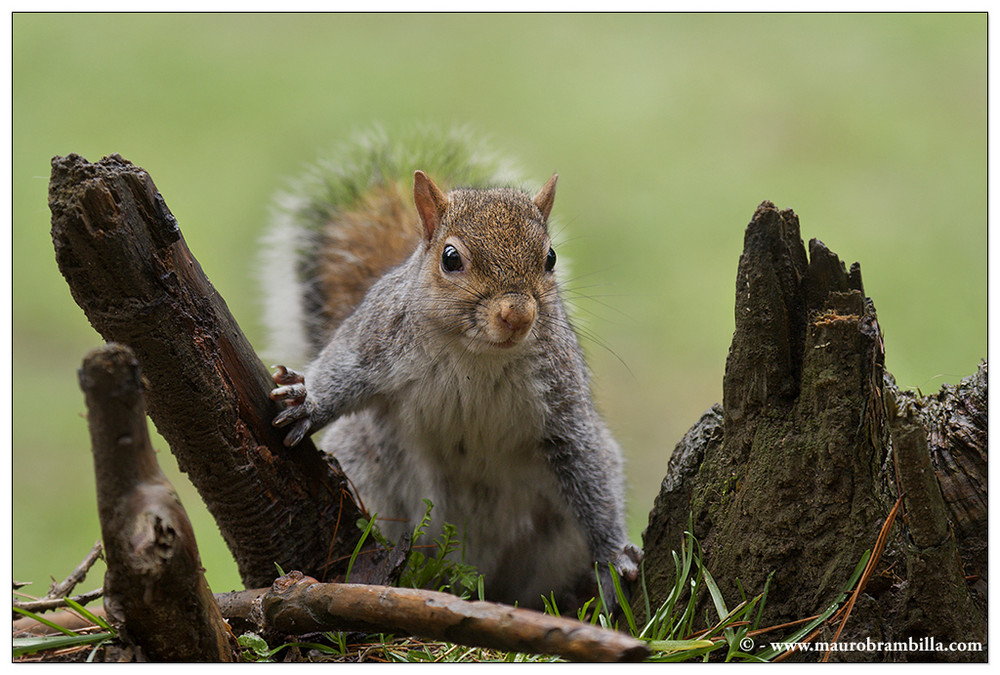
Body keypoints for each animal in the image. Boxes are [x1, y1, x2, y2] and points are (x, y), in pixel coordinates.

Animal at [264, 129, 640, 608]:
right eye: (450, 258)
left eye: (551, 258)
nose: (518, 314)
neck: (475, 354)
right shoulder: (376, 336)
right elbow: (342, 367)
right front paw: (306, 402)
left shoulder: (561, 398)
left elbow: (587, 467)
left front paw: (612, 558)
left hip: (554, 544)